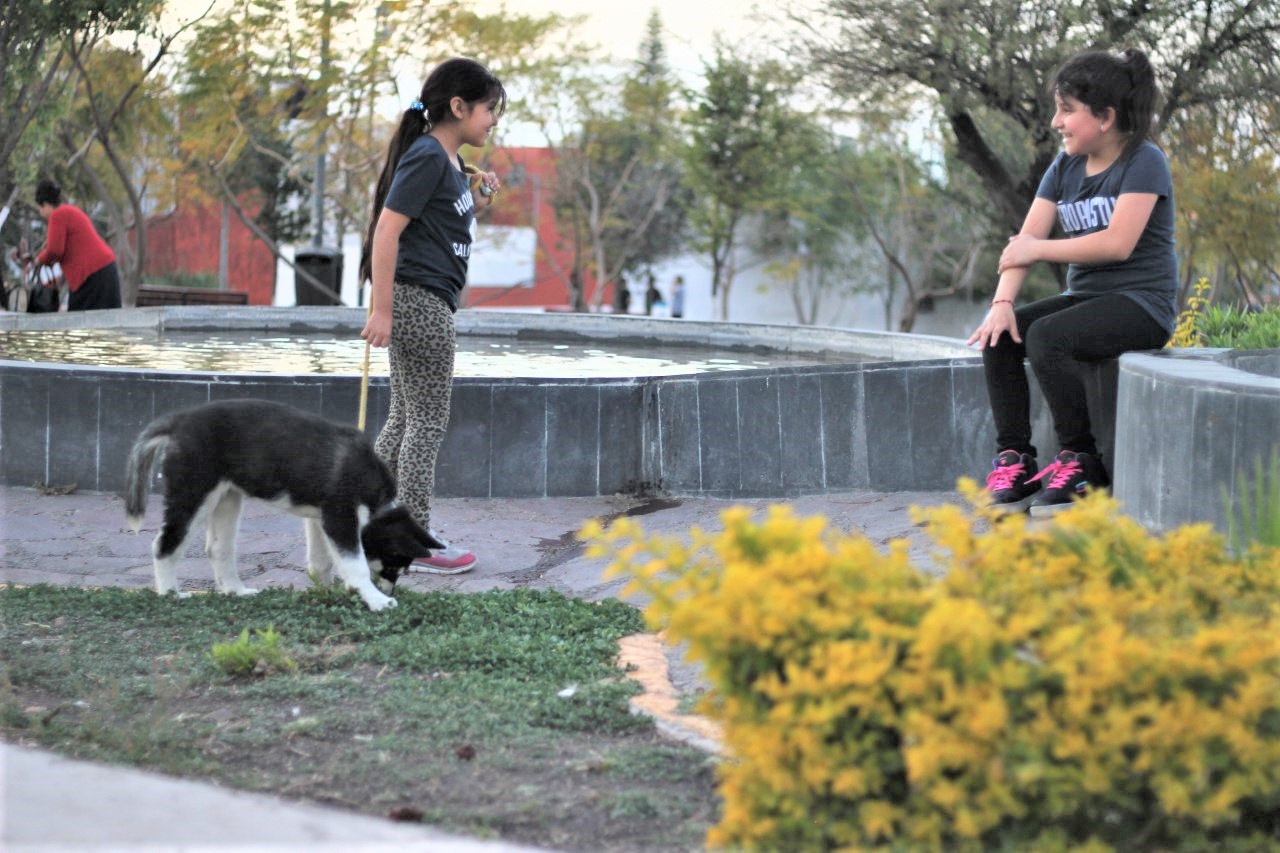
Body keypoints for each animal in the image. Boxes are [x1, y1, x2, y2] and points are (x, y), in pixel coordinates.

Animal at [124, 394, 442, 607]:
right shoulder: (340, 517)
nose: (390, 591)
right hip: (193, 493)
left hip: (227, 498)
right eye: (392, 564)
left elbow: (321, 562)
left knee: (218, 549)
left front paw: (324, 593)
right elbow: (356, 565)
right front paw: (376, 601)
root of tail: (180, 421)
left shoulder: (320, 518)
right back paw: (170, 593)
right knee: (164, 544)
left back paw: (236, 591)